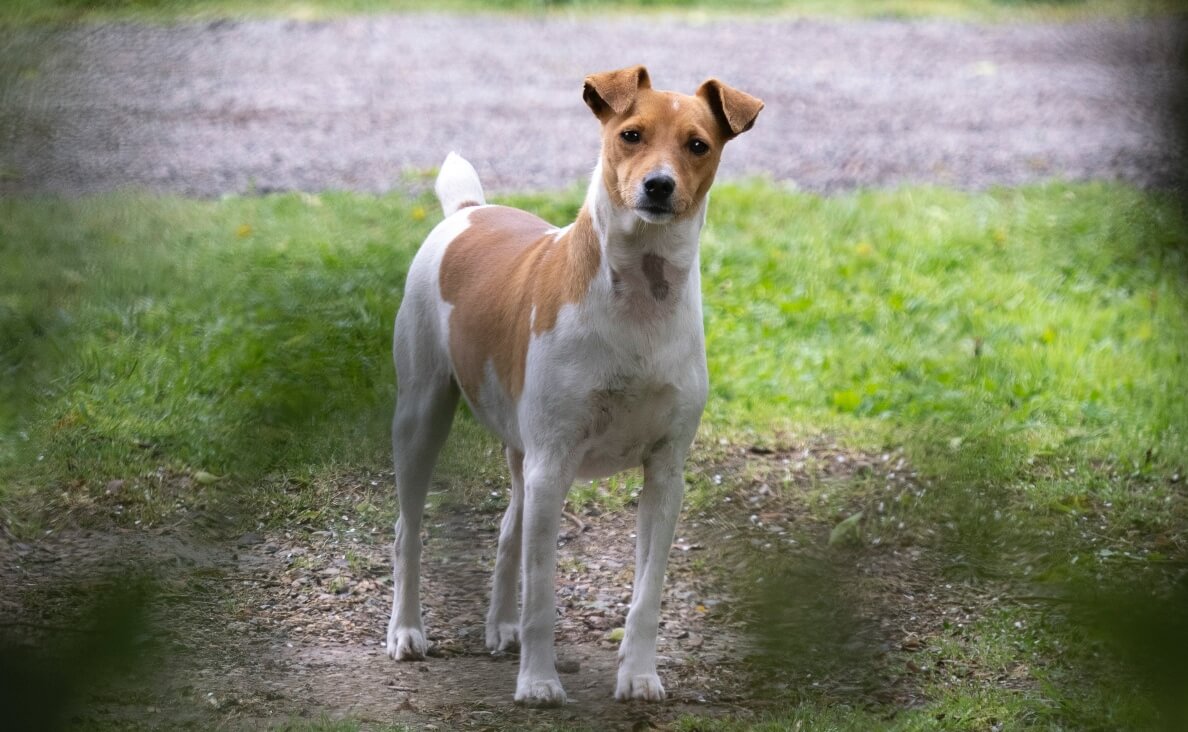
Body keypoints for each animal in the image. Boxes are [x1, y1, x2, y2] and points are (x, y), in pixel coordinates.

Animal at [384, 65, 765, 708]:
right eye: (631, 134)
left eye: (698, 145)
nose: (658, 186)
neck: (638, 302)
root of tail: (468, 210)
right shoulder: (553, 464)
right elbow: (542, 595)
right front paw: (539, 683)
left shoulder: (665, 473)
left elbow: (647, 592)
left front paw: (639, 675)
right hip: (423, 417)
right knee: (408, 532)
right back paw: (408, 631)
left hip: (522, 453)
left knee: (508, 530)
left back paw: (501, 627)